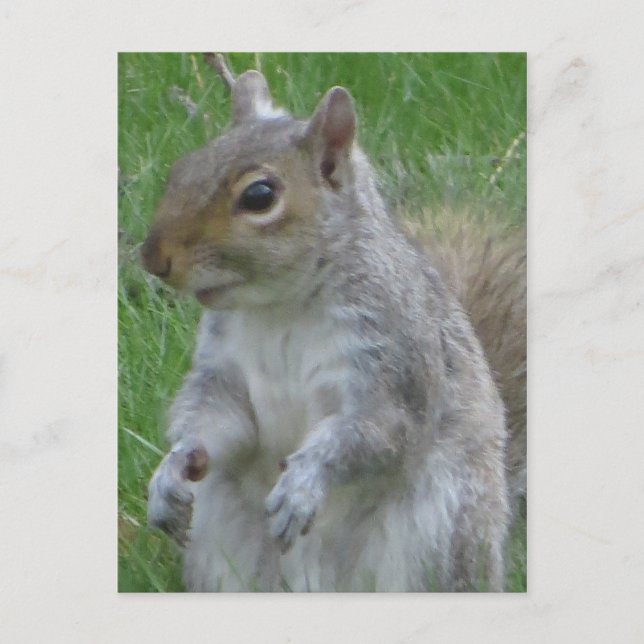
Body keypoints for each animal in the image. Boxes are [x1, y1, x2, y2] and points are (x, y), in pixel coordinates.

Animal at [141, 57, 526, 592]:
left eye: (260, 195)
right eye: (181, 169)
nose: (153, 258)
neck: (280, 307)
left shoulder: (393, 358)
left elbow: (377, 431)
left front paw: (304, 481)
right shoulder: (224, 371)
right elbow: (219, 419)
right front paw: (171, 470)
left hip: (441, 523)